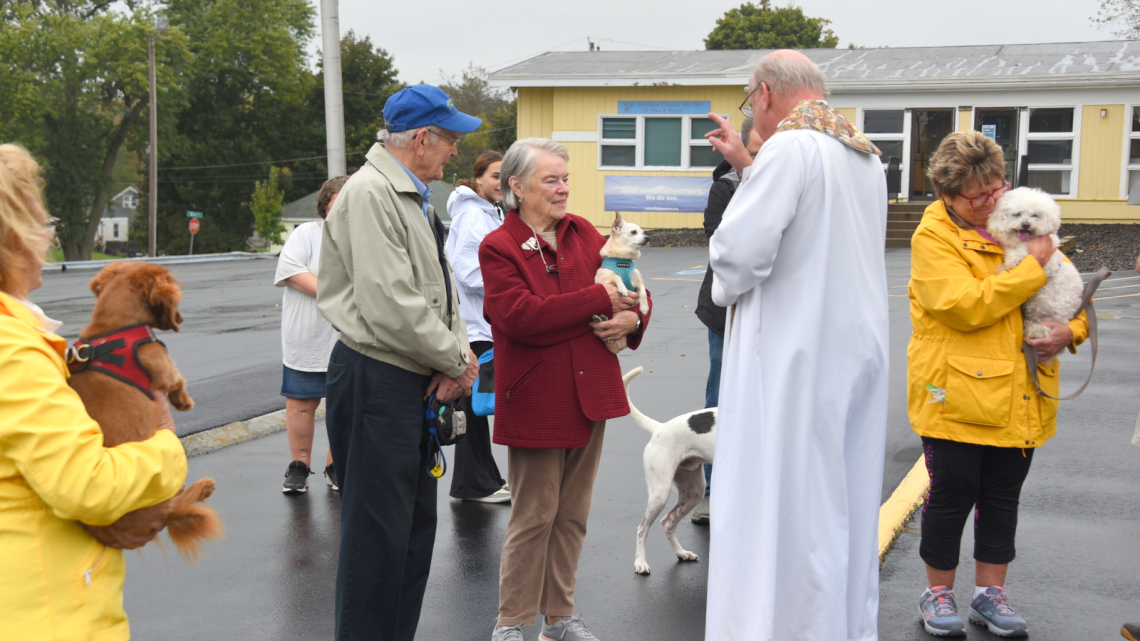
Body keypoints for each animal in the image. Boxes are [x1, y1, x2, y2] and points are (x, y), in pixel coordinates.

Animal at [624, 364, 711, 574]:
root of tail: (659, 427)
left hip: (694, 493)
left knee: (668, 522)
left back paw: (682, 553)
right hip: (660, 493)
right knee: (642, 528)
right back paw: (640, 562)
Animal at [984, 185, 1080, 339]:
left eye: (1035, 215)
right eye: (1017, 214)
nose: (1026, 224)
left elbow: (1023, 249)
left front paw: (1012, 260)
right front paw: (1012, 259)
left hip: (1046, 305)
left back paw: (1035, 330)